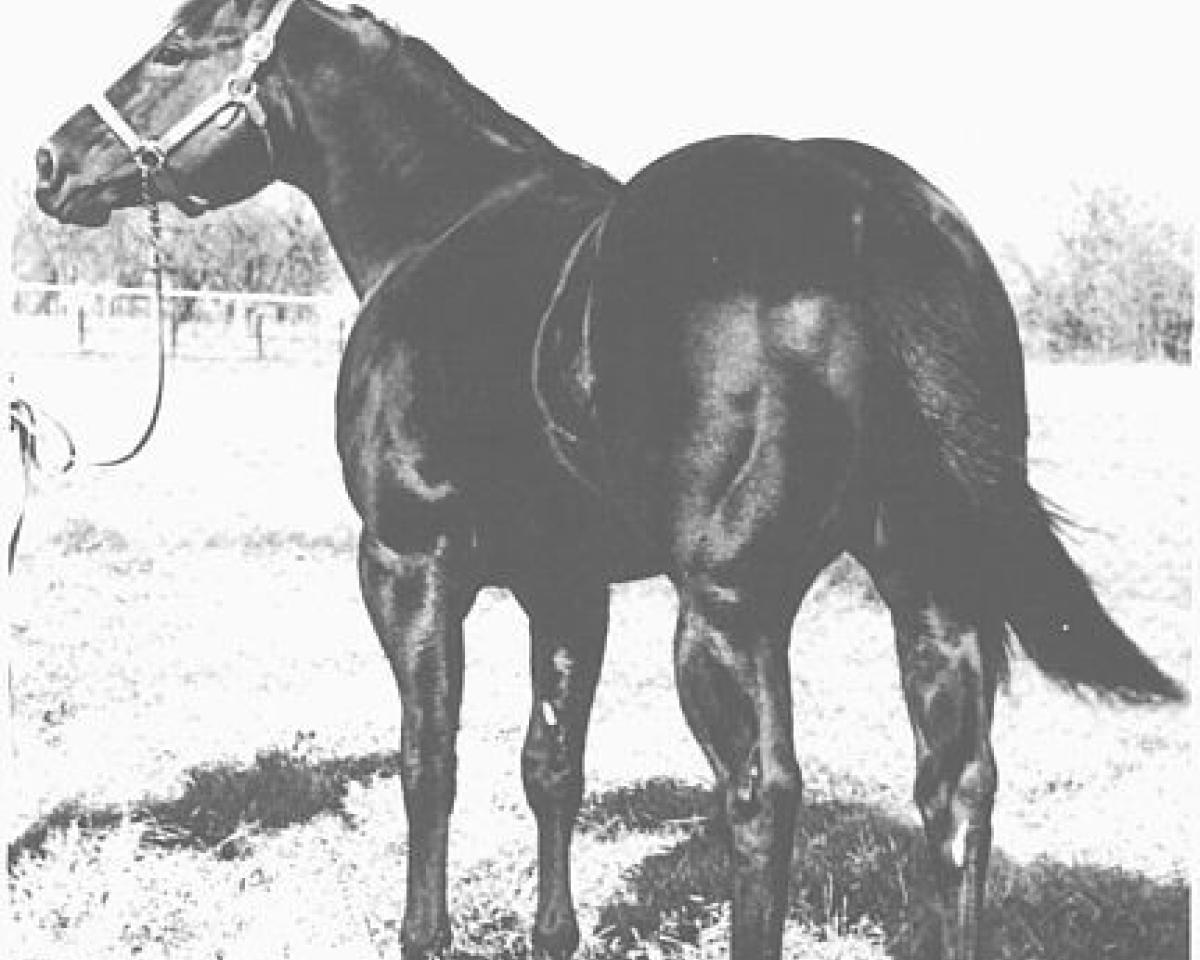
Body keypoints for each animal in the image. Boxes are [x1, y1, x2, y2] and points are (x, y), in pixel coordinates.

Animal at [33, 2, 1185, 958]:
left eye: (174, 47)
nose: (51, 163)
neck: (442, 228)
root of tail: (870, 210)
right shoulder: (566, 586)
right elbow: (553, 768)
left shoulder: (408, 562)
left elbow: (428, 759)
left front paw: (425, 934)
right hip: (933, 591)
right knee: (957, 790)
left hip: (727, 609)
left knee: (763, 793)